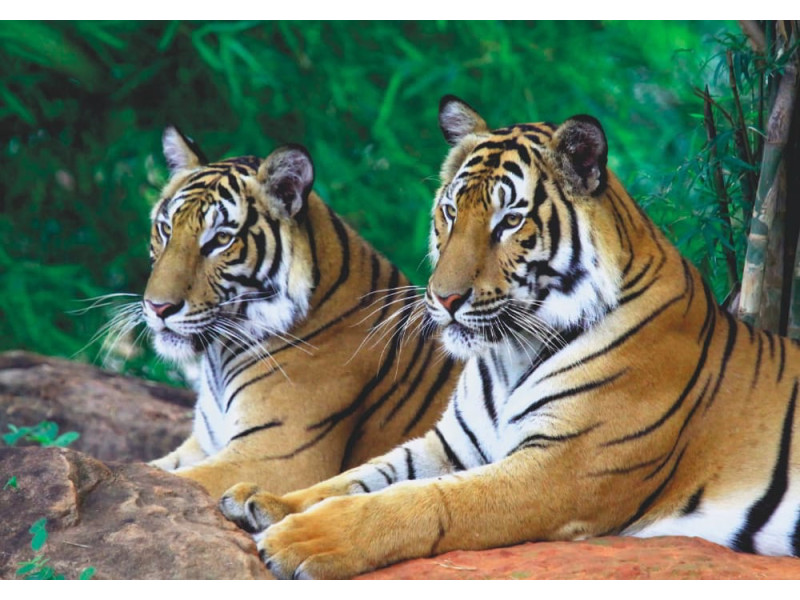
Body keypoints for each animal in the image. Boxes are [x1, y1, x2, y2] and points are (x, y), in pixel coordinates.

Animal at [140, 127, 459, 500]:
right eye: (166, 229)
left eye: (220, 239)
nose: (158, 307)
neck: (218, 358)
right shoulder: (203, 445)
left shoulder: (276, 456)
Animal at [219, 95, 800, 579]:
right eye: (450, 212)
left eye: (510, 222)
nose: (444, 299)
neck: (508, 355)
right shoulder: (453, 443)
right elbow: (360, 475)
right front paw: (264, 499)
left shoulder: (561, 467)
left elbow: (423, 499)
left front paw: (305, 538)